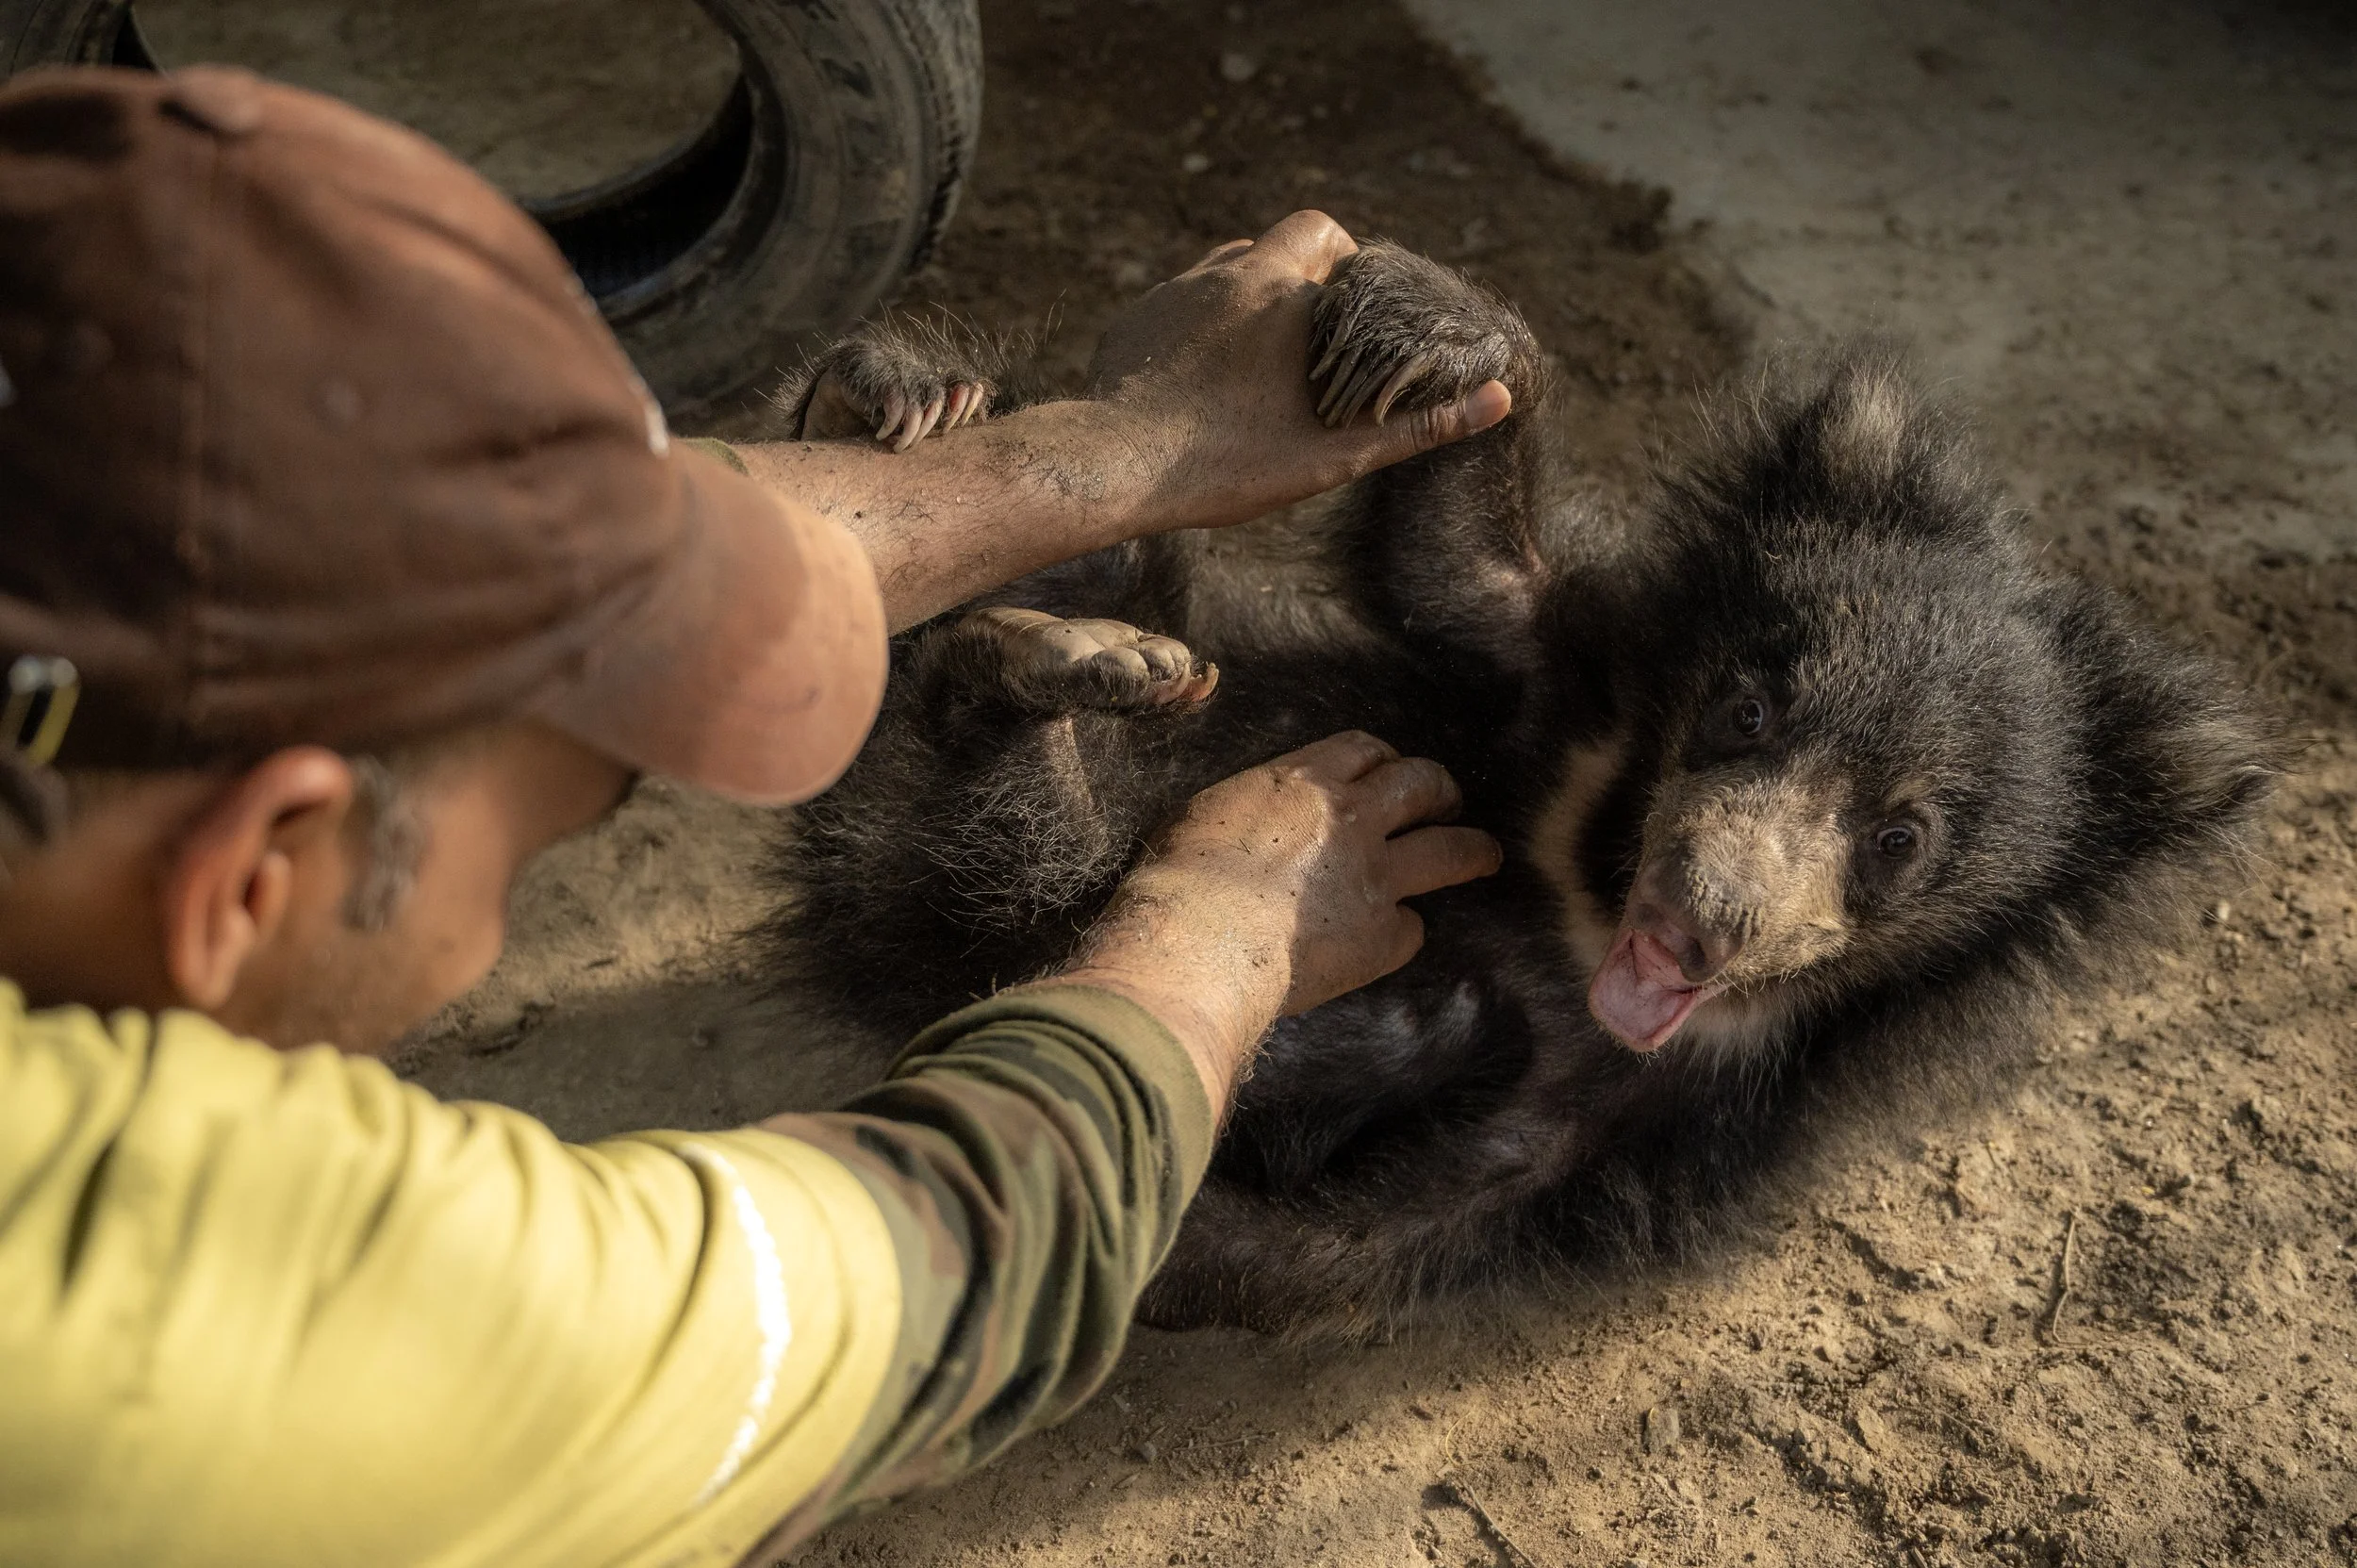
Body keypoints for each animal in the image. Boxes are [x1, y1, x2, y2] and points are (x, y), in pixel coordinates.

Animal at [757, 241, 2273, 1336]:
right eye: (1747, 708)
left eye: (1900, 836)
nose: (1700, 920)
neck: (1581, 901)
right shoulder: (1567, 696)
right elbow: (1469, 577)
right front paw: (1427, 331)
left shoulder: (1644, 1130)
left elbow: (1355, 1238)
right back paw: (889, 399)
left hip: (975, 877)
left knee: (1009, 836)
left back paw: (1031, 671)